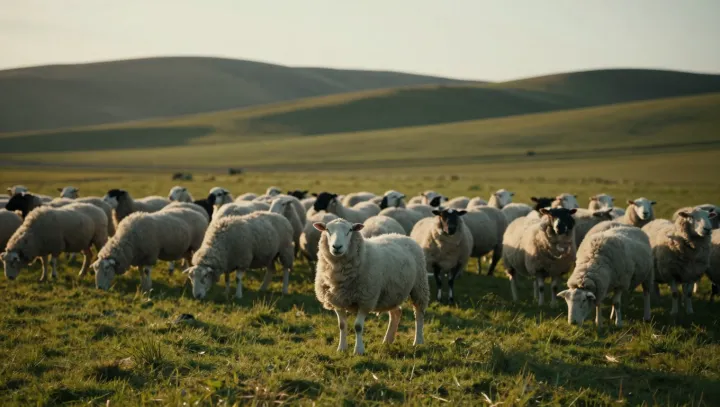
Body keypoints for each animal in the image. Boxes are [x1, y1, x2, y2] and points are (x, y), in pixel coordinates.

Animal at [313, 218, 429, 355]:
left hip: (419, 286)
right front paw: (341, 348)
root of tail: (402, 236)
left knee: (419, 314)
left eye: (350, 230)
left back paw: (418, 341)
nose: (337, 247)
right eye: (327, 230)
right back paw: (388, 339)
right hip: (390, 293)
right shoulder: (337, 301)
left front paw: (358, 350)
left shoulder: (365, 300)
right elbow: (342, 326)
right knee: (396, 313)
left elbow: (358, 327)